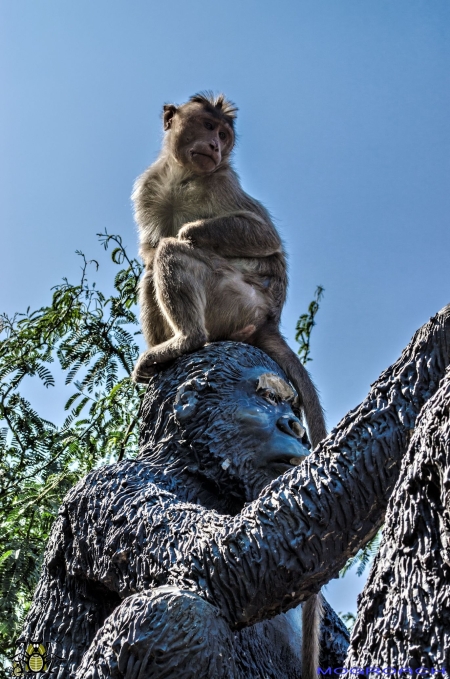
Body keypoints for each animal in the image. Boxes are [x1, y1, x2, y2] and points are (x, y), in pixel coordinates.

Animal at [132, 94, 326, 679]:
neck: (186, 175)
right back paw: (169, 353)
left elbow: (260, 236)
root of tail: (267, 320)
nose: (216, 146)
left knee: (172, 255)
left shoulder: (223, 183)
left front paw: (195, 230)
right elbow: (148, 246)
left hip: (235, 299)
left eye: (225, 135)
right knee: (153, 264)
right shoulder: (150, 186)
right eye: (208, 127)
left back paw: (187, 338)